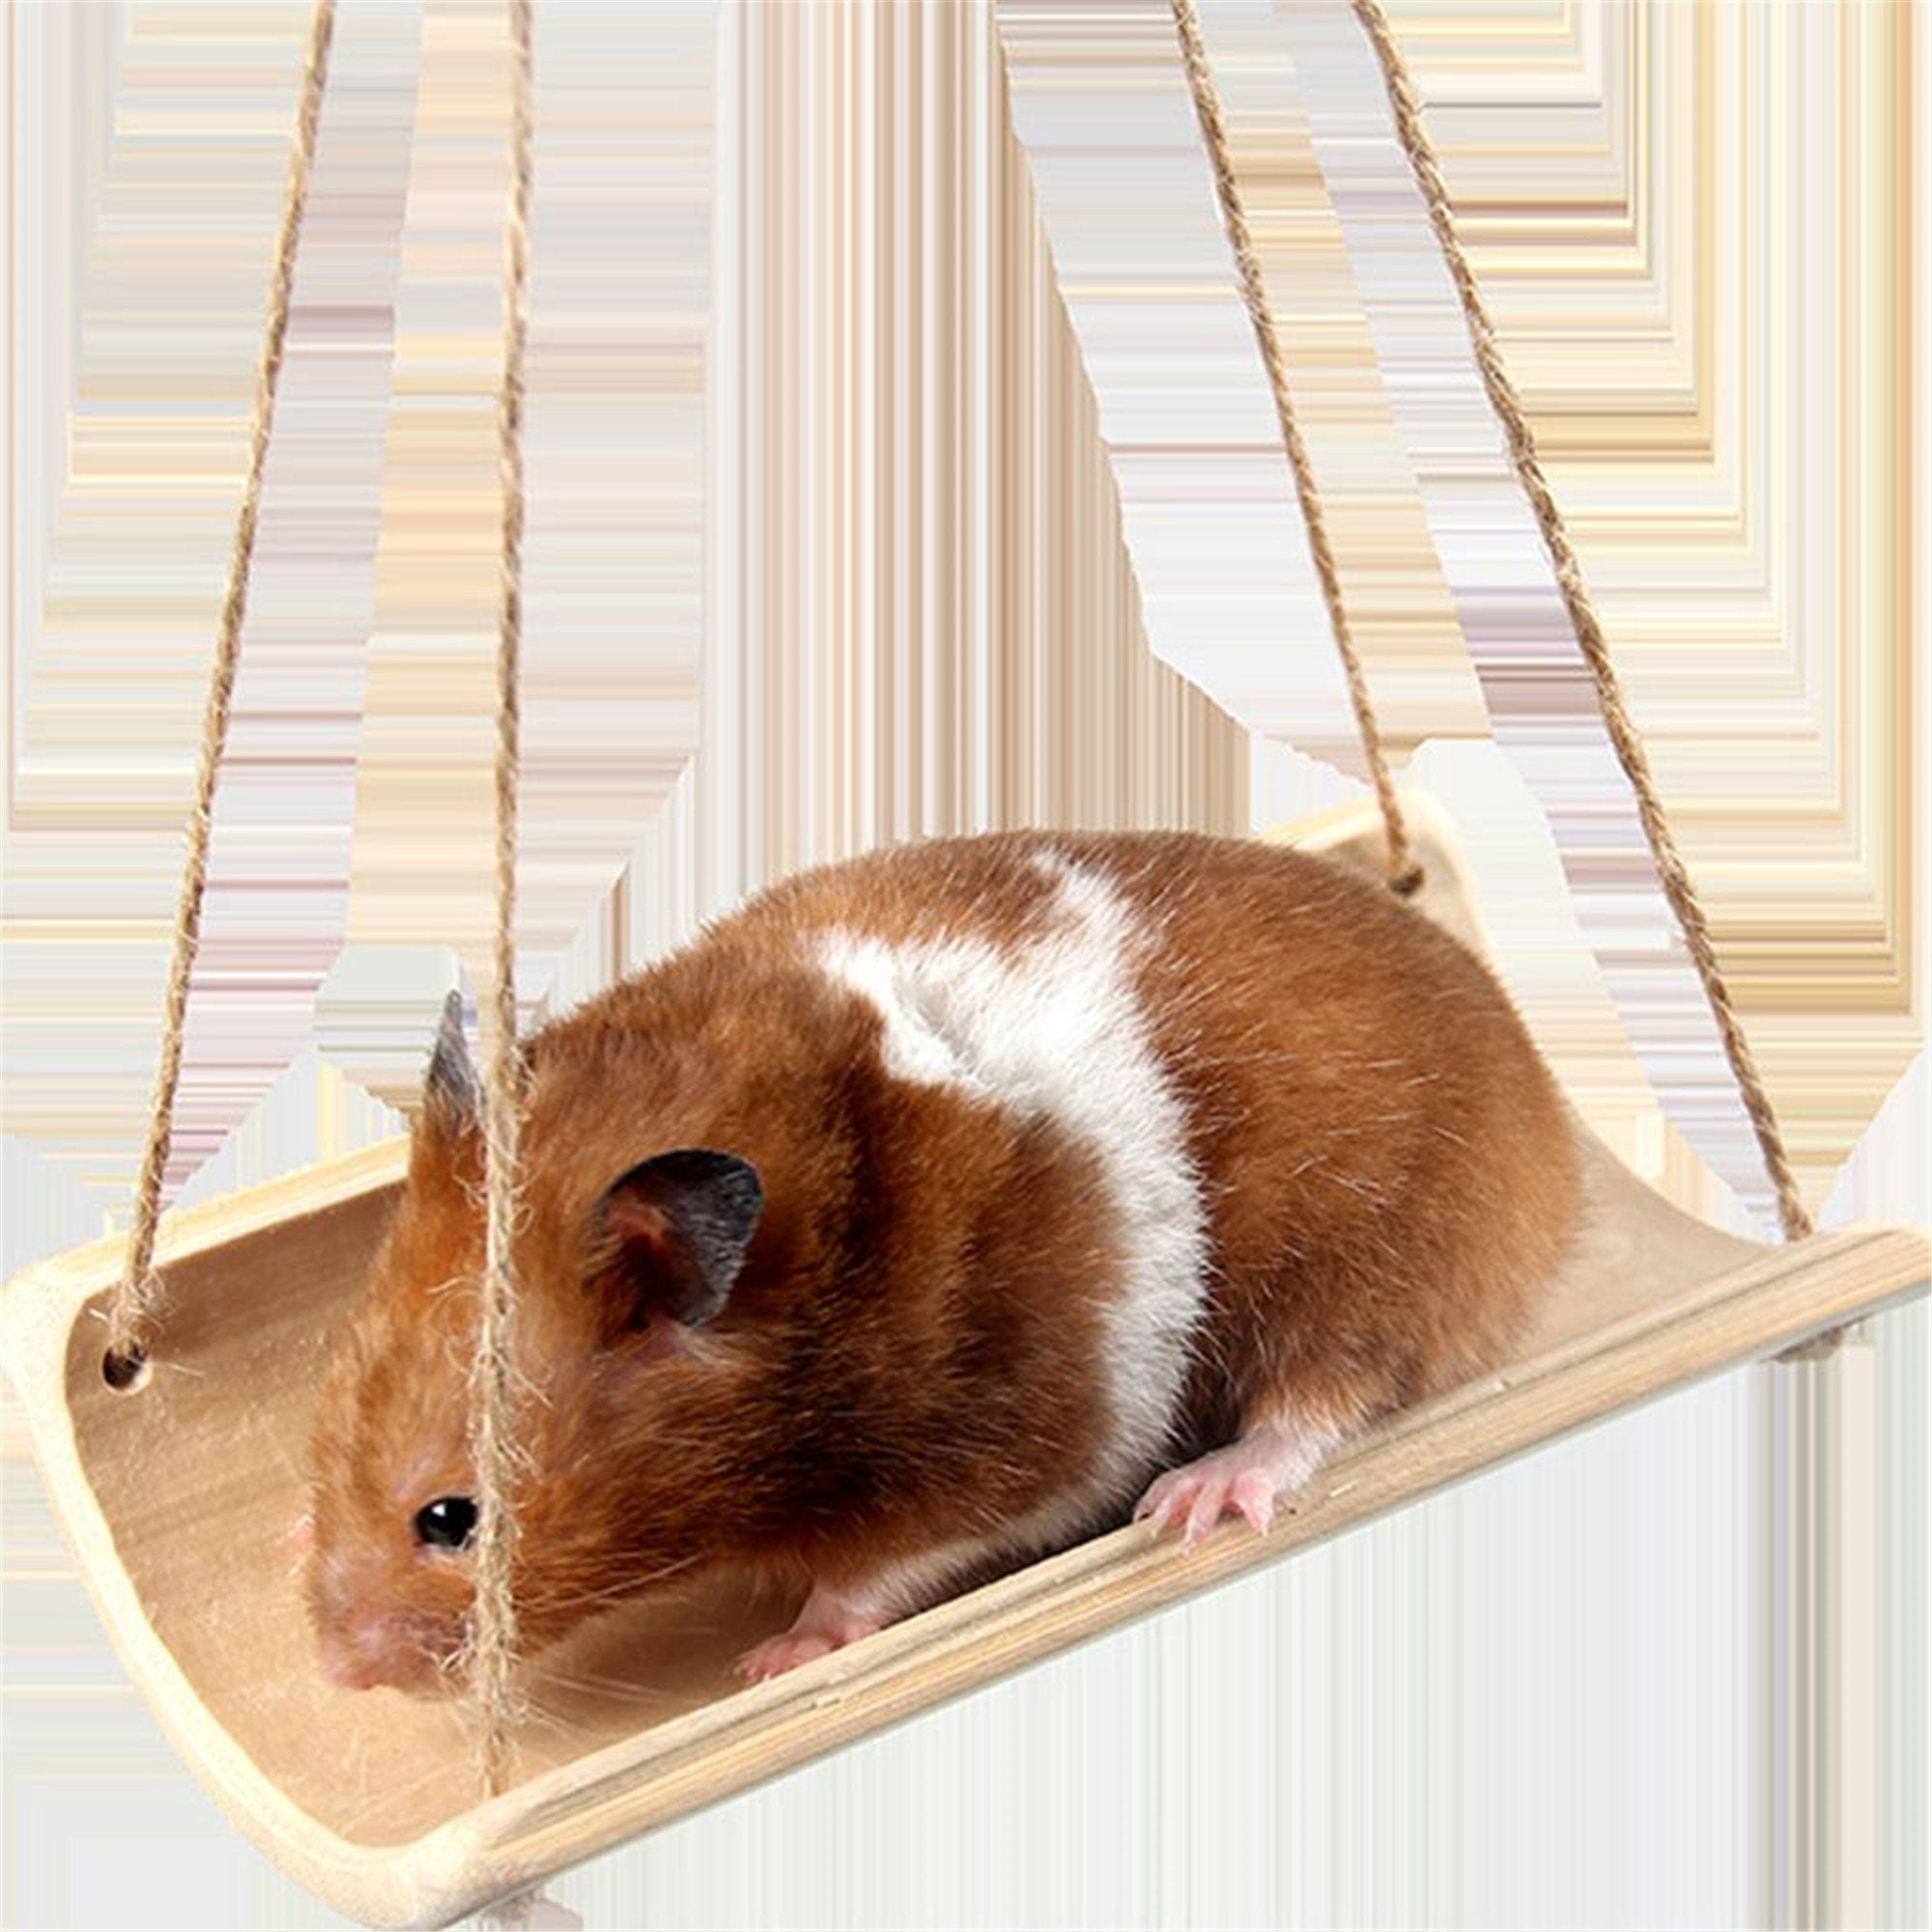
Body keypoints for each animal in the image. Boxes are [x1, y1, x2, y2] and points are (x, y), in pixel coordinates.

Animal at [303, 829, 1579, 1691]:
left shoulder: (1029, 1439)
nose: (338, 1673)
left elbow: (883, 1565)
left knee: (1323, 1401)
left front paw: (772, 1659)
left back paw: (1196, 1499)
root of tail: (1540, 1095)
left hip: (1367, 1255)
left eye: (451, 1518)